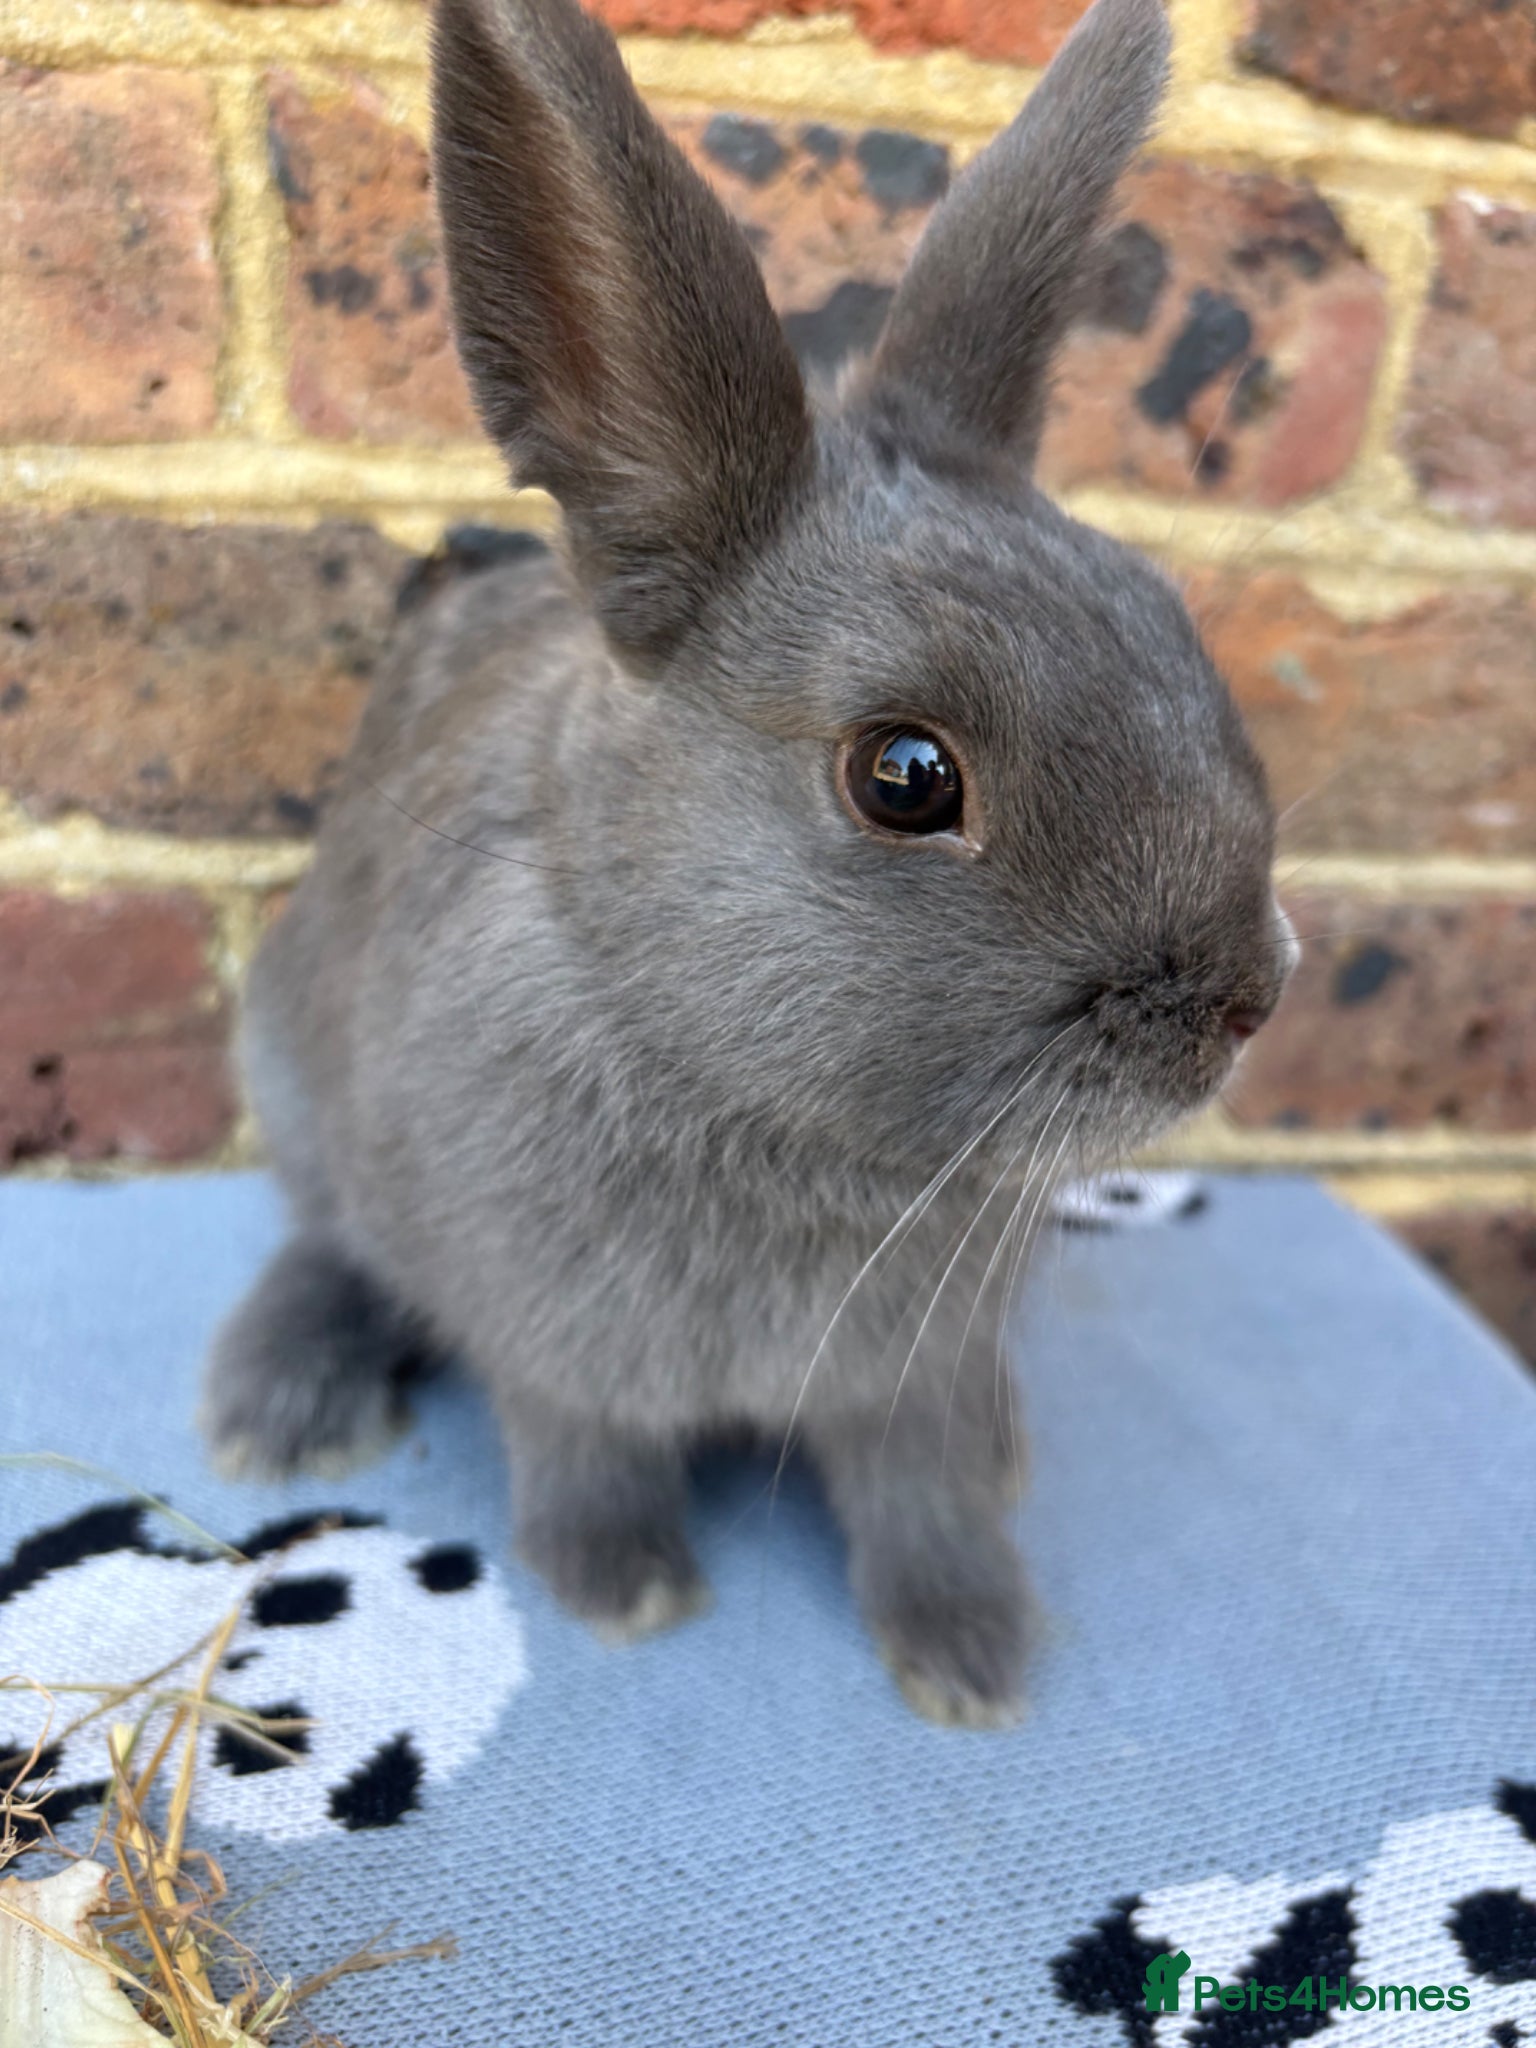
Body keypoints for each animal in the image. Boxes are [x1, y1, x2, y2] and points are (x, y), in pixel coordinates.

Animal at [200, 0, 1295, 1727]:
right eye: (905, 777)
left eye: (1172, 624)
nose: (1249, 1000)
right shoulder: (554, 1345)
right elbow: (580, 1447)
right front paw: (622, 1591)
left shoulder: (910, 1381)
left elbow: (918, 1496)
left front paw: (971, 1661)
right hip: (297, 1088)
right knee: (328, 1241)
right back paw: (279, 1405)